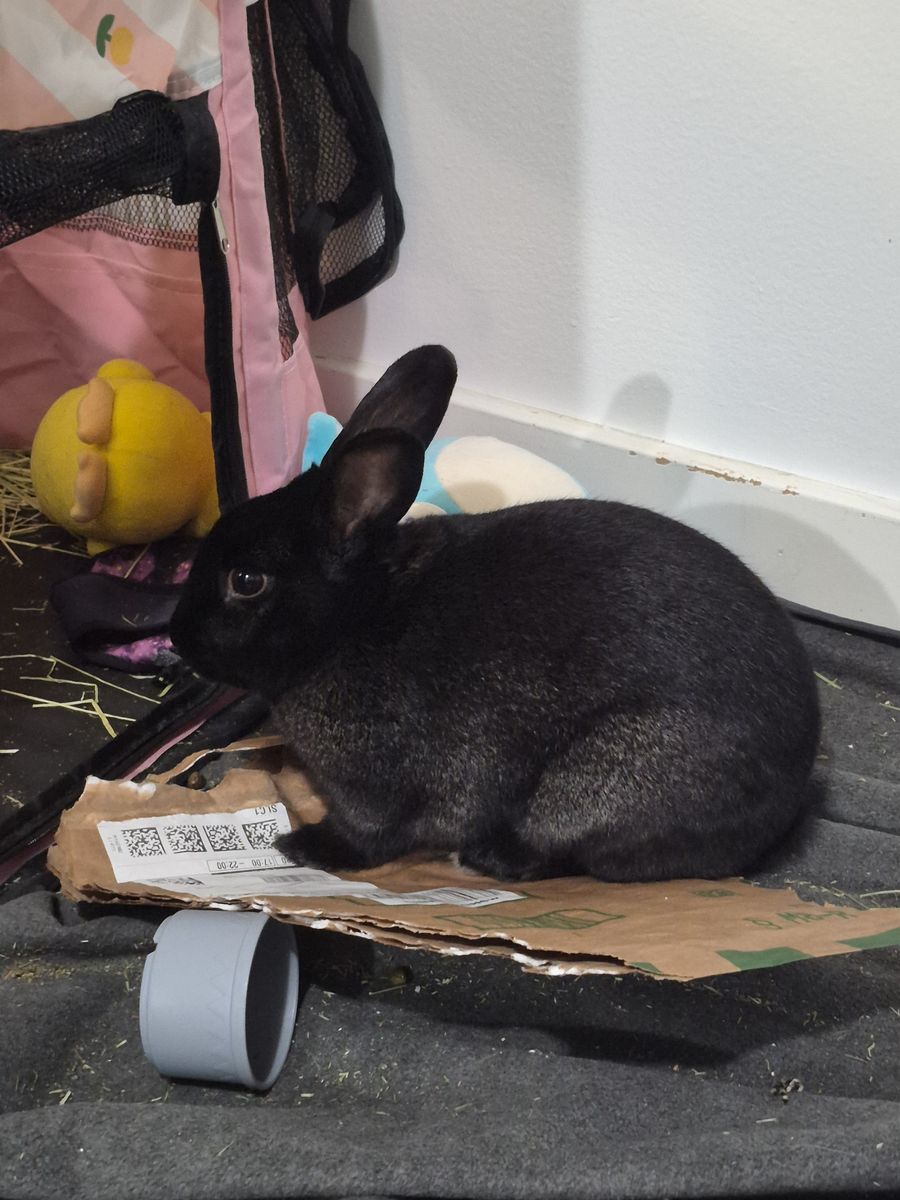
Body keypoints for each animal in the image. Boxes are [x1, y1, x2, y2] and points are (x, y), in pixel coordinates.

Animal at [169, 345, 821, 883]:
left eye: (246, 582)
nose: (177, 638)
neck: (352, 620)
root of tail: (790, 796)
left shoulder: (379, 786)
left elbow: (368, 838)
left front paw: (299, 846)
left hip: (596, 785)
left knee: (562, 854)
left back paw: (484, 858)